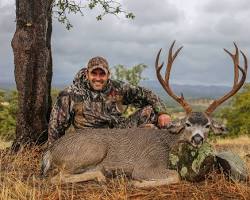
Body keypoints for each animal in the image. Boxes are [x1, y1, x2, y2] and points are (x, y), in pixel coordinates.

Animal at [41, 41, 248, 188]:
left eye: (207, 125)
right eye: (187, 123)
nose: (198, 139)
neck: (170, 144)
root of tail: (51, 151)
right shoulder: (145, 164)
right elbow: (175, 175)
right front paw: (137, 183)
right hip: (93, 150)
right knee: (55, 178)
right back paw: (102, 175)